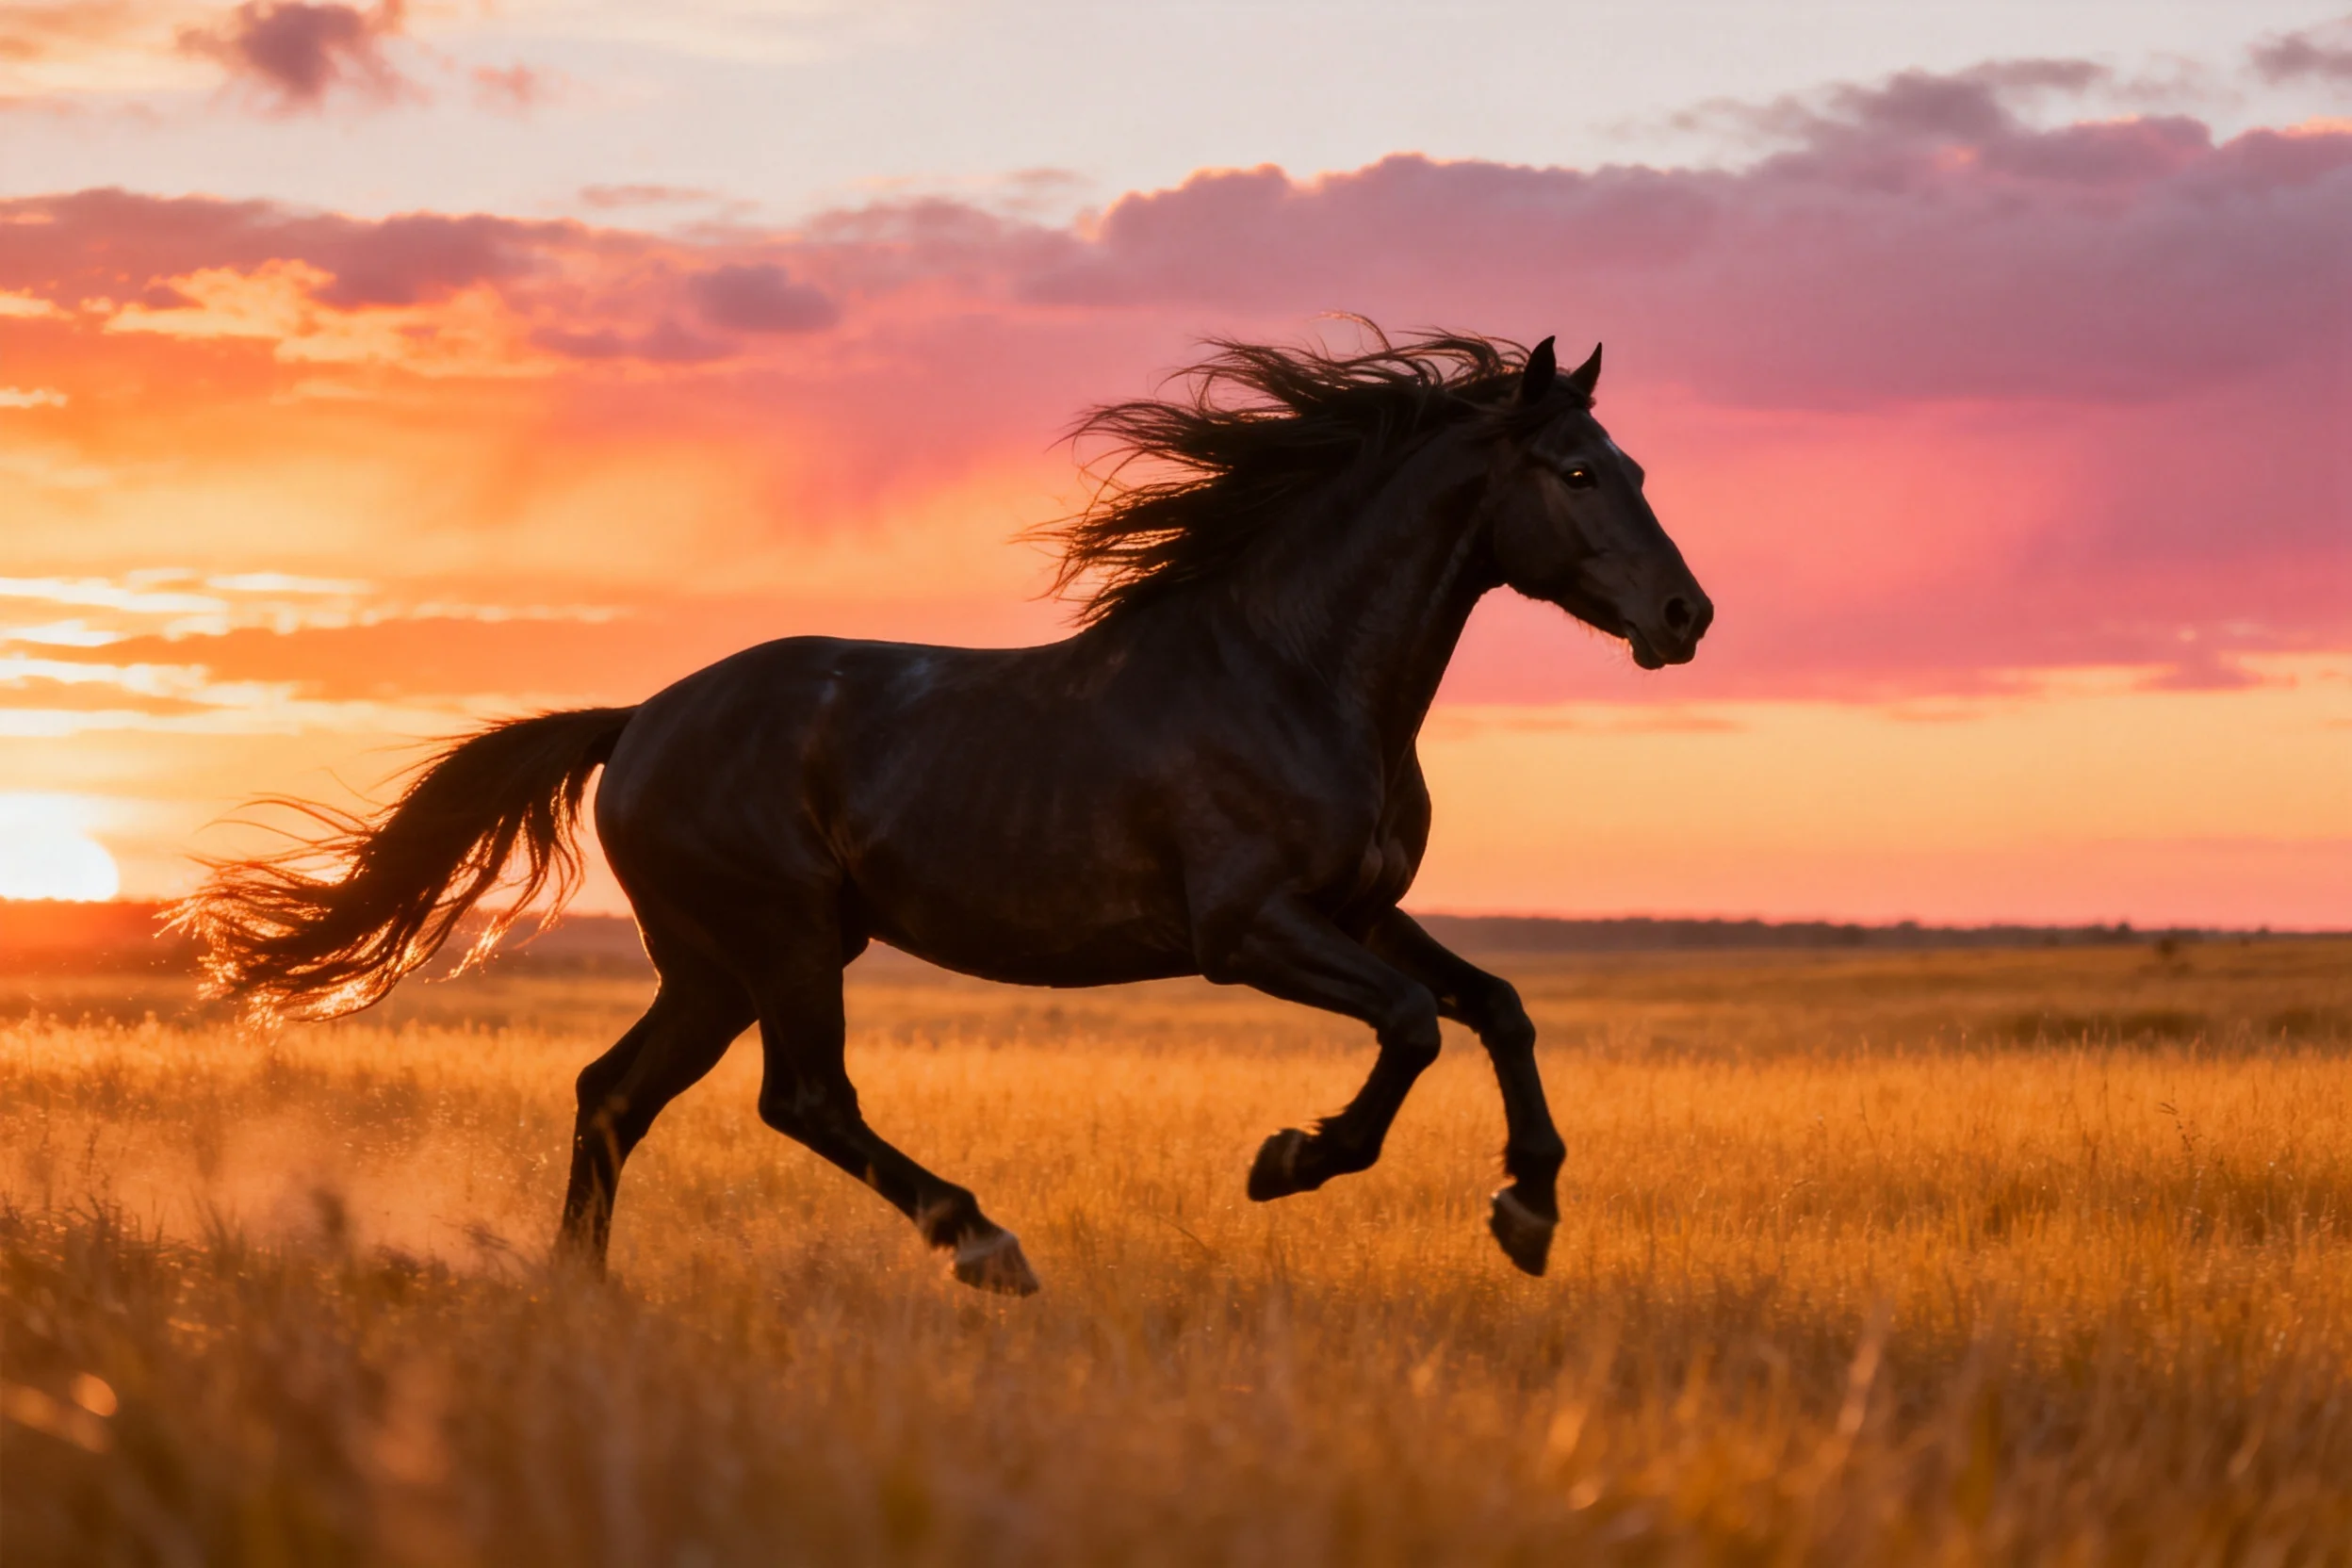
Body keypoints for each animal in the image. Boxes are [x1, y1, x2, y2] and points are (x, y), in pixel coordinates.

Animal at [174, 327, 1713, 1296]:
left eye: (1639, 467)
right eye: (1580, 472)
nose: (1686, 616)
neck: (1290, 673)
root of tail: (639, 722)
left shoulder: (1362, 907)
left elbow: (1496, 1004)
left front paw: (1528, 1210)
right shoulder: (1251, 930)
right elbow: (1408, 1027)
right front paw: (1293, 1161)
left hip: (715, 965)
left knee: (614, 1093)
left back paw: (581, 1287)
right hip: (784, 942)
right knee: (799, 1098)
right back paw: (986, 1246)